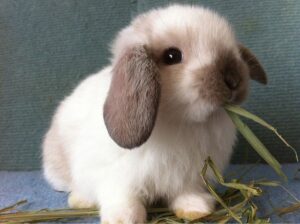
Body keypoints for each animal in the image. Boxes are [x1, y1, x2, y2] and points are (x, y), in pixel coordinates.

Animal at [42, 4, 268, 223]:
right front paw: (124, 219)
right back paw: (80, 200)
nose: (233, 79)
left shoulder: (188, 177)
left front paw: (196, 209)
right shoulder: (117, 179)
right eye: (172, 56)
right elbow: (124, 199)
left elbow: (186, 193)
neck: (181, 121)